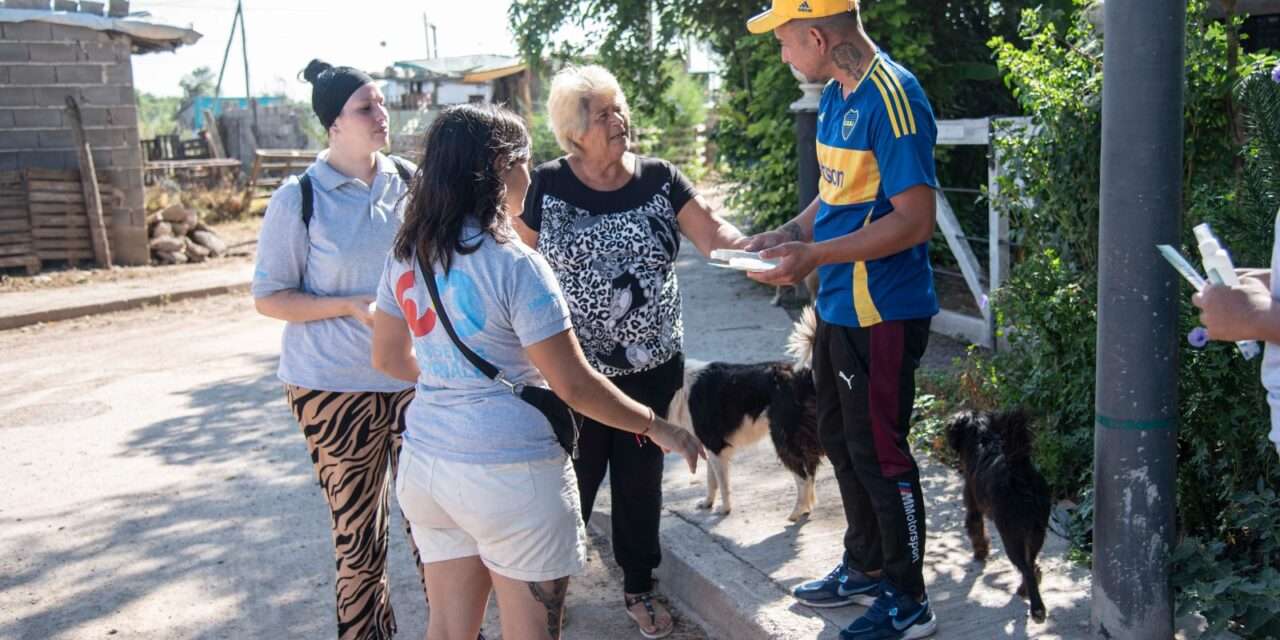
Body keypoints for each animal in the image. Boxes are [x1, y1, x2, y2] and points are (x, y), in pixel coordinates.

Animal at [665, 307, 824, 522]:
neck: (678, 385)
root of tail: (802, 374)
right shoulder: (711, 447)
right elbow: (711, 480)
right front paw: (707, 503)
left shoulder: (716, 446)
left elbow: (722, 484)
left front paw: (724, 509)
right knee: (811, 471)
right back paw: (807, 508)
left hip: (783, 438)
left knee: (803, 476)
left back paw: (797, 512)